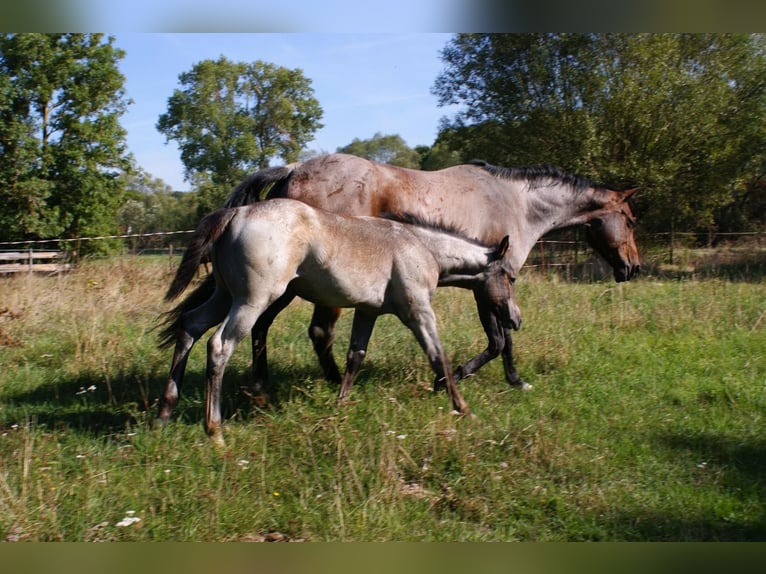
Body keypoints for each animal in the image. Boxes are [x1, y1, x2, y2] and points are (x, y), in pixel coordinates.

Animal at [158, 198, 520, 445]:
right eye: (512, 277)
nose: (516, 320)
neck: (421, 247)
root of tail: (237, 212)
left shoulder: (367, 311)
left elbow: (354, 357)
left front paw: (340, 406)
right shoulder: (418, 311)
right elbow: (438, 357)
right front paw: (463, 408)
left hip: (223, 296)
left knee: (189, 326)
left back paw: (165, 412)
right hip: (251, 301)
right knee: (218, 345)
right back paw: (215, 431)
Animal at [174, 153, 640, 395]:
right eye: (630, 220)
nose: (632, 268)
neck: (515, 203)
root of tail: (293, 169)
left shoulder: (488, 284)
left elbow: (503, 336)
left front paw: (509, 379)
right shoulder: (489, 283)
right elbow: (498, 339)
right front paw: (465, 377)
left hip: (287, 286)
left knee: (260, 326)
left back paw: (263, 385)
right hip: (303, 287)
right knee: (310, 332)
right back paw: (320, 383)